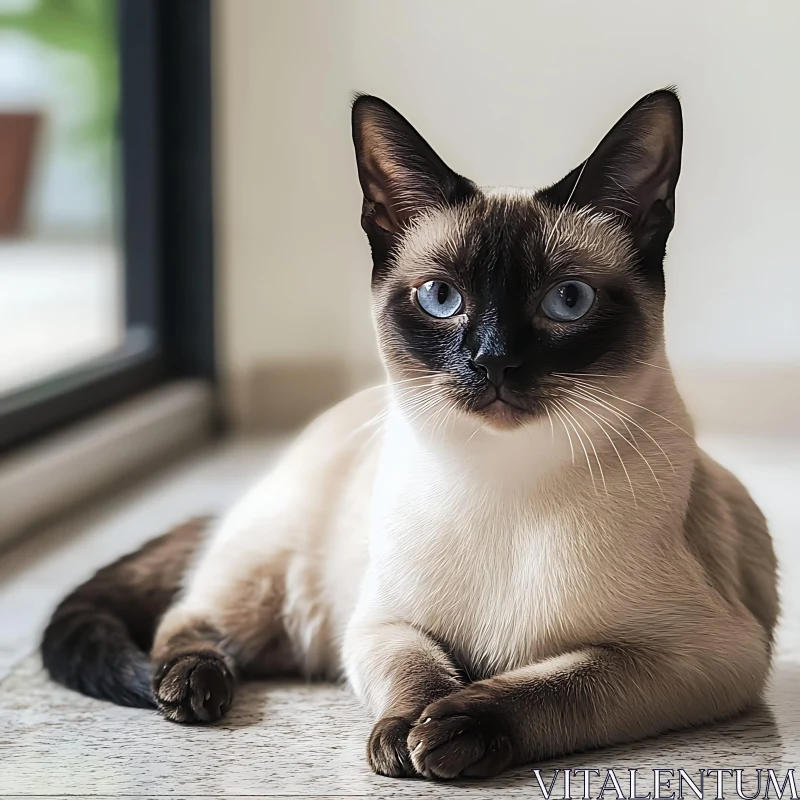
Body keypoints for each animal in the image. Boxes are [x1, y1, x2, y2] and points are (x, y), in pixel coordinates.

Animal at [42, 90, 776, 780]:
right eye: (441, 299)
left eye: (567, 301)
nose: (493, 360)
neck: (504, 480)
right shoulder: (381, 622)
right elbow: (418, 670)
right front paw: (406, 734)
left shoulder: (695, 656)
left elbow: (556, 686)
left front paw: (452, 732)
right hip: (273, 584)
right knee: (190, 620)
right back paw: (190, 687)